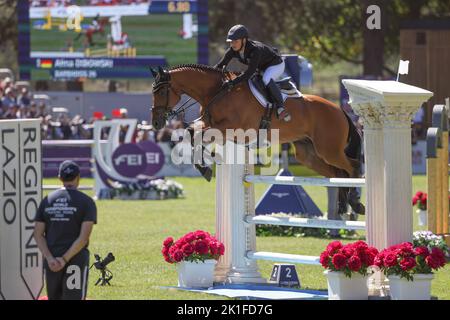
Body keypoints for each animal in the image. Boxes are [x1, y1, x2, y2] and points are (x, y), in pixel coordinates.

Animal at [149, 63, 364, 214]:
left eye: (161, 91)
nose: (156, 123)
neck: (217, 92)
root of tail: (340, 110)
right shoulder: (209, 124)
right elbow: (192, 133)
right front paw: (204, 167)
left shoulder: (231, 128)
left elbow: (198, 135)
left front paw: (206, 165)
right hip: (309, 154)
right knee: (337, 172)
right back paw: (344, 206)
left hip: (329, 150)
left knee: (352, 166)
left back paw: (355, 202)